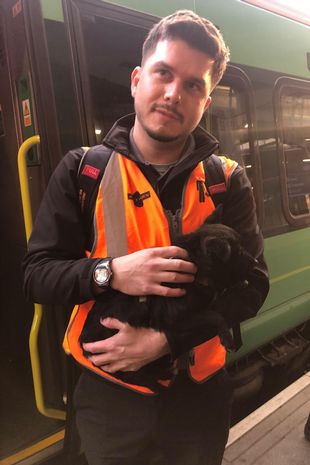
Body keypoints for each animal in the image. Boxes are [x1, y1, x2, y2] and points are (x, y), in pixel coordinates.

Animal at [80, 218, 256, 388]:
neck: (195, 266)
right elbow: (214, 315)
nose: (255, 261)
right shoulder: (176, 321)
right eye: (239, 252)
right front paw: (227, 337)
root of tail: (85, 351)